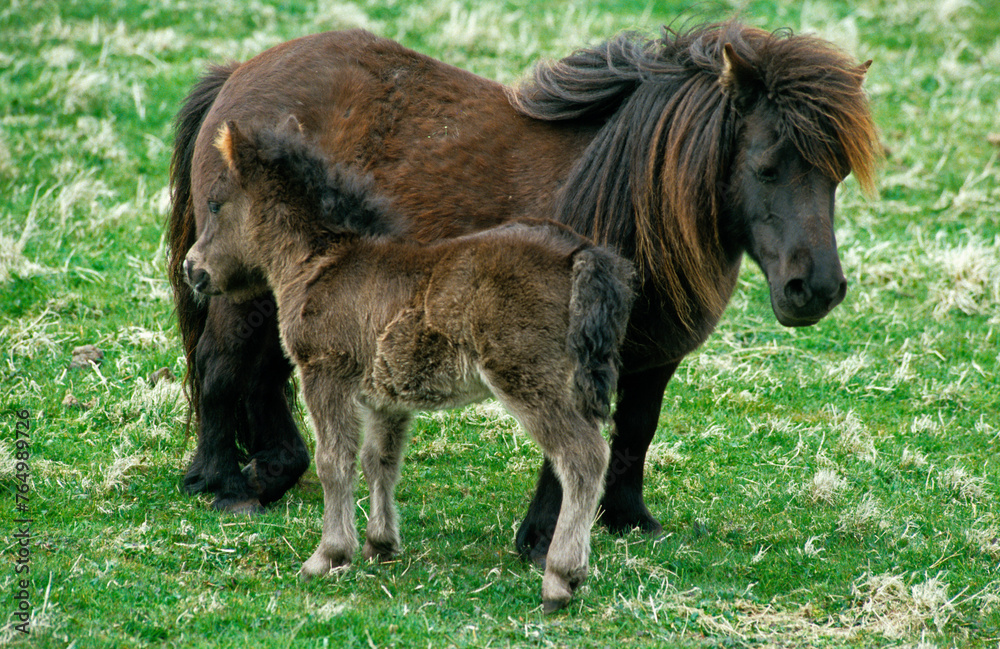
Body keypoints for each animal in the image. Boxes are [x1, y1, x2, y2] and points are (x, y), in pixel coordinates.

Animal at [170, 20, 876, 560]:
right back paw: (223, 485)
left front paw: (629, 520)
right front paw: (542, 540)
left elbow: (636, 431)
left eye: (838, 173)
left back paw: (272, 473)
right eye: (766, 165)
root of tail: (239, 73)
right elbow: (573, 443)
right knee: (221, 365)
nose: (815, 289)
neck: (635, 199)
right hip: (240, 288)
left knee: (262, 373)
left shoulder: (653, 358)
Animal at [182, 119, 632, 612]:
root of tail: (578, 252)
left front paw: (328, 555)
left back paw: (560, 578)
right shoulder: (386, 396)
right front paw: (380, 544)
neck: (321, 265)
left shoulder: (325, 374)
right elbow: (380, 460)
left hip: (529, 378)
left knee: (583, 458)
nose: (192, 268)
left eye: (215, 203)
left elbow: (333, 461)